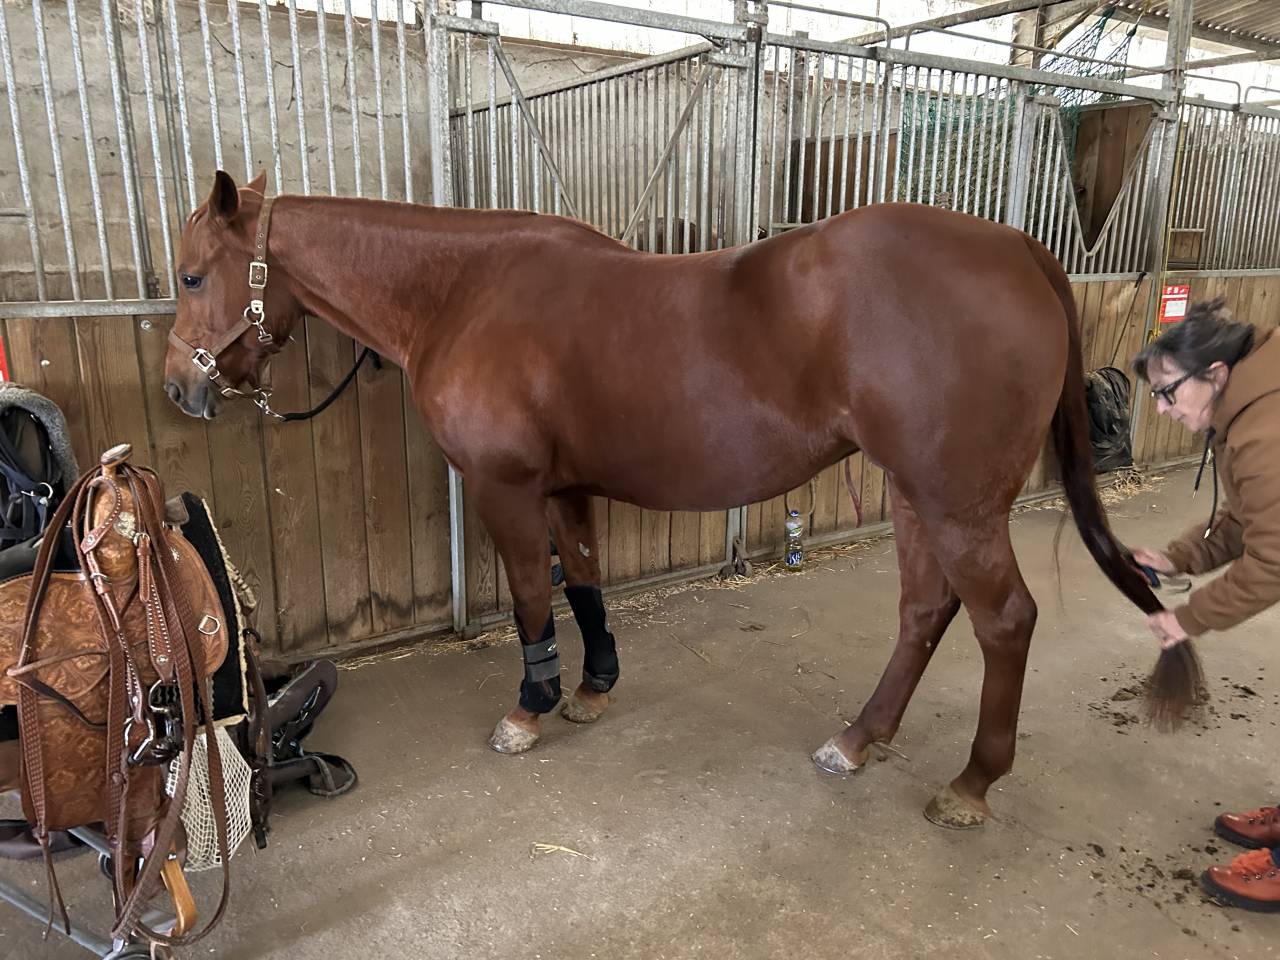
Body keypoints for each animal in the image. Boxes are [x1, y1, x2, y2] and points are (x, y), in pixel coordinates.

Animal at [162, 169, 1181, 828]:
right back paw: (858, 740)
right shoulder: (567, 486)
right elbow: (581, 583)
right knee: (926, 611)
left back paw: (972, 783)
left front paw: (528, 710)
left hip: (957, 503)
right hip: (916, 496)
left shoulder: (506, 487)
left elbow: (530, 596)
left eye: (191, 274)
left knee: (1003, 620)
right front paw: (591, 690)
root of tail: (1019, 249)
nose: (179, 387)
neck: (467, 291)